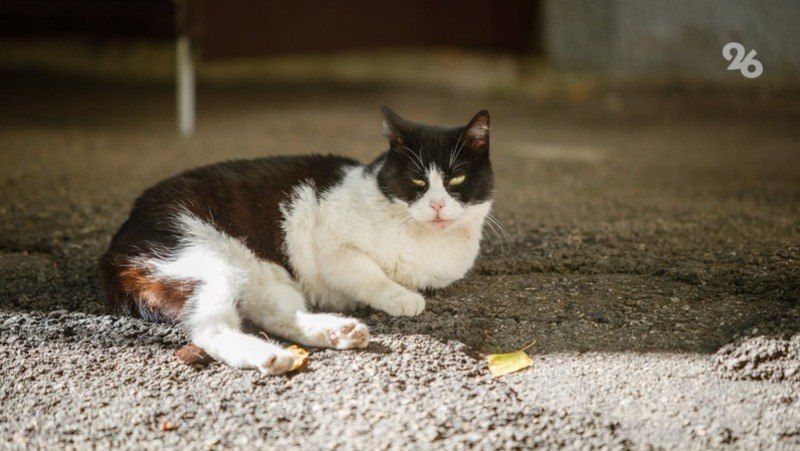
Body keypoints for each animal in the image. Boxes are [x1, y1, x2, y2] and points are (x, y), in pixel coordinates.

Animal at [101, 106, 494, 374]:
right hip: (205, 263)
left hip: (266, 279)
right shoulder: (331, 246)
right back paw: (269, 356)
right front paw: (400, 298)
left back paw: (337, 333)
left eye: (457, 180)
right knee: (212, 329)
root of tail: (116, 244)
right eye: (417, 181)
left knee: (275, 317)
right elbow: (368, 273)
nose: (438, 205)